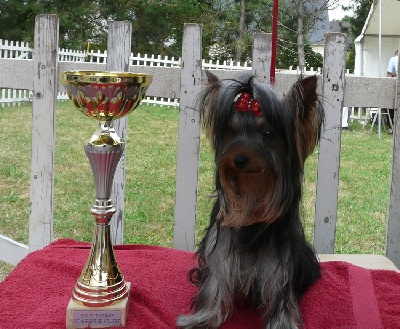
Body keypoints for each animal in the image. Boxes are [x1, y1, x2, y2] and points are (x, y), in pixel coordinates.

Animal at [178, 70, 324, 326]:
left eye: (268, 134)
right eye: (232, 132)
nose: (239, 159)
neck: (252, 194)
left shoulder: (280, 262)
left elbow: (280, 294)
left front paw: (282, 324)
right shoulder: (220, 247)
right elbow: (215, 282)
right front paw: (202, 319)